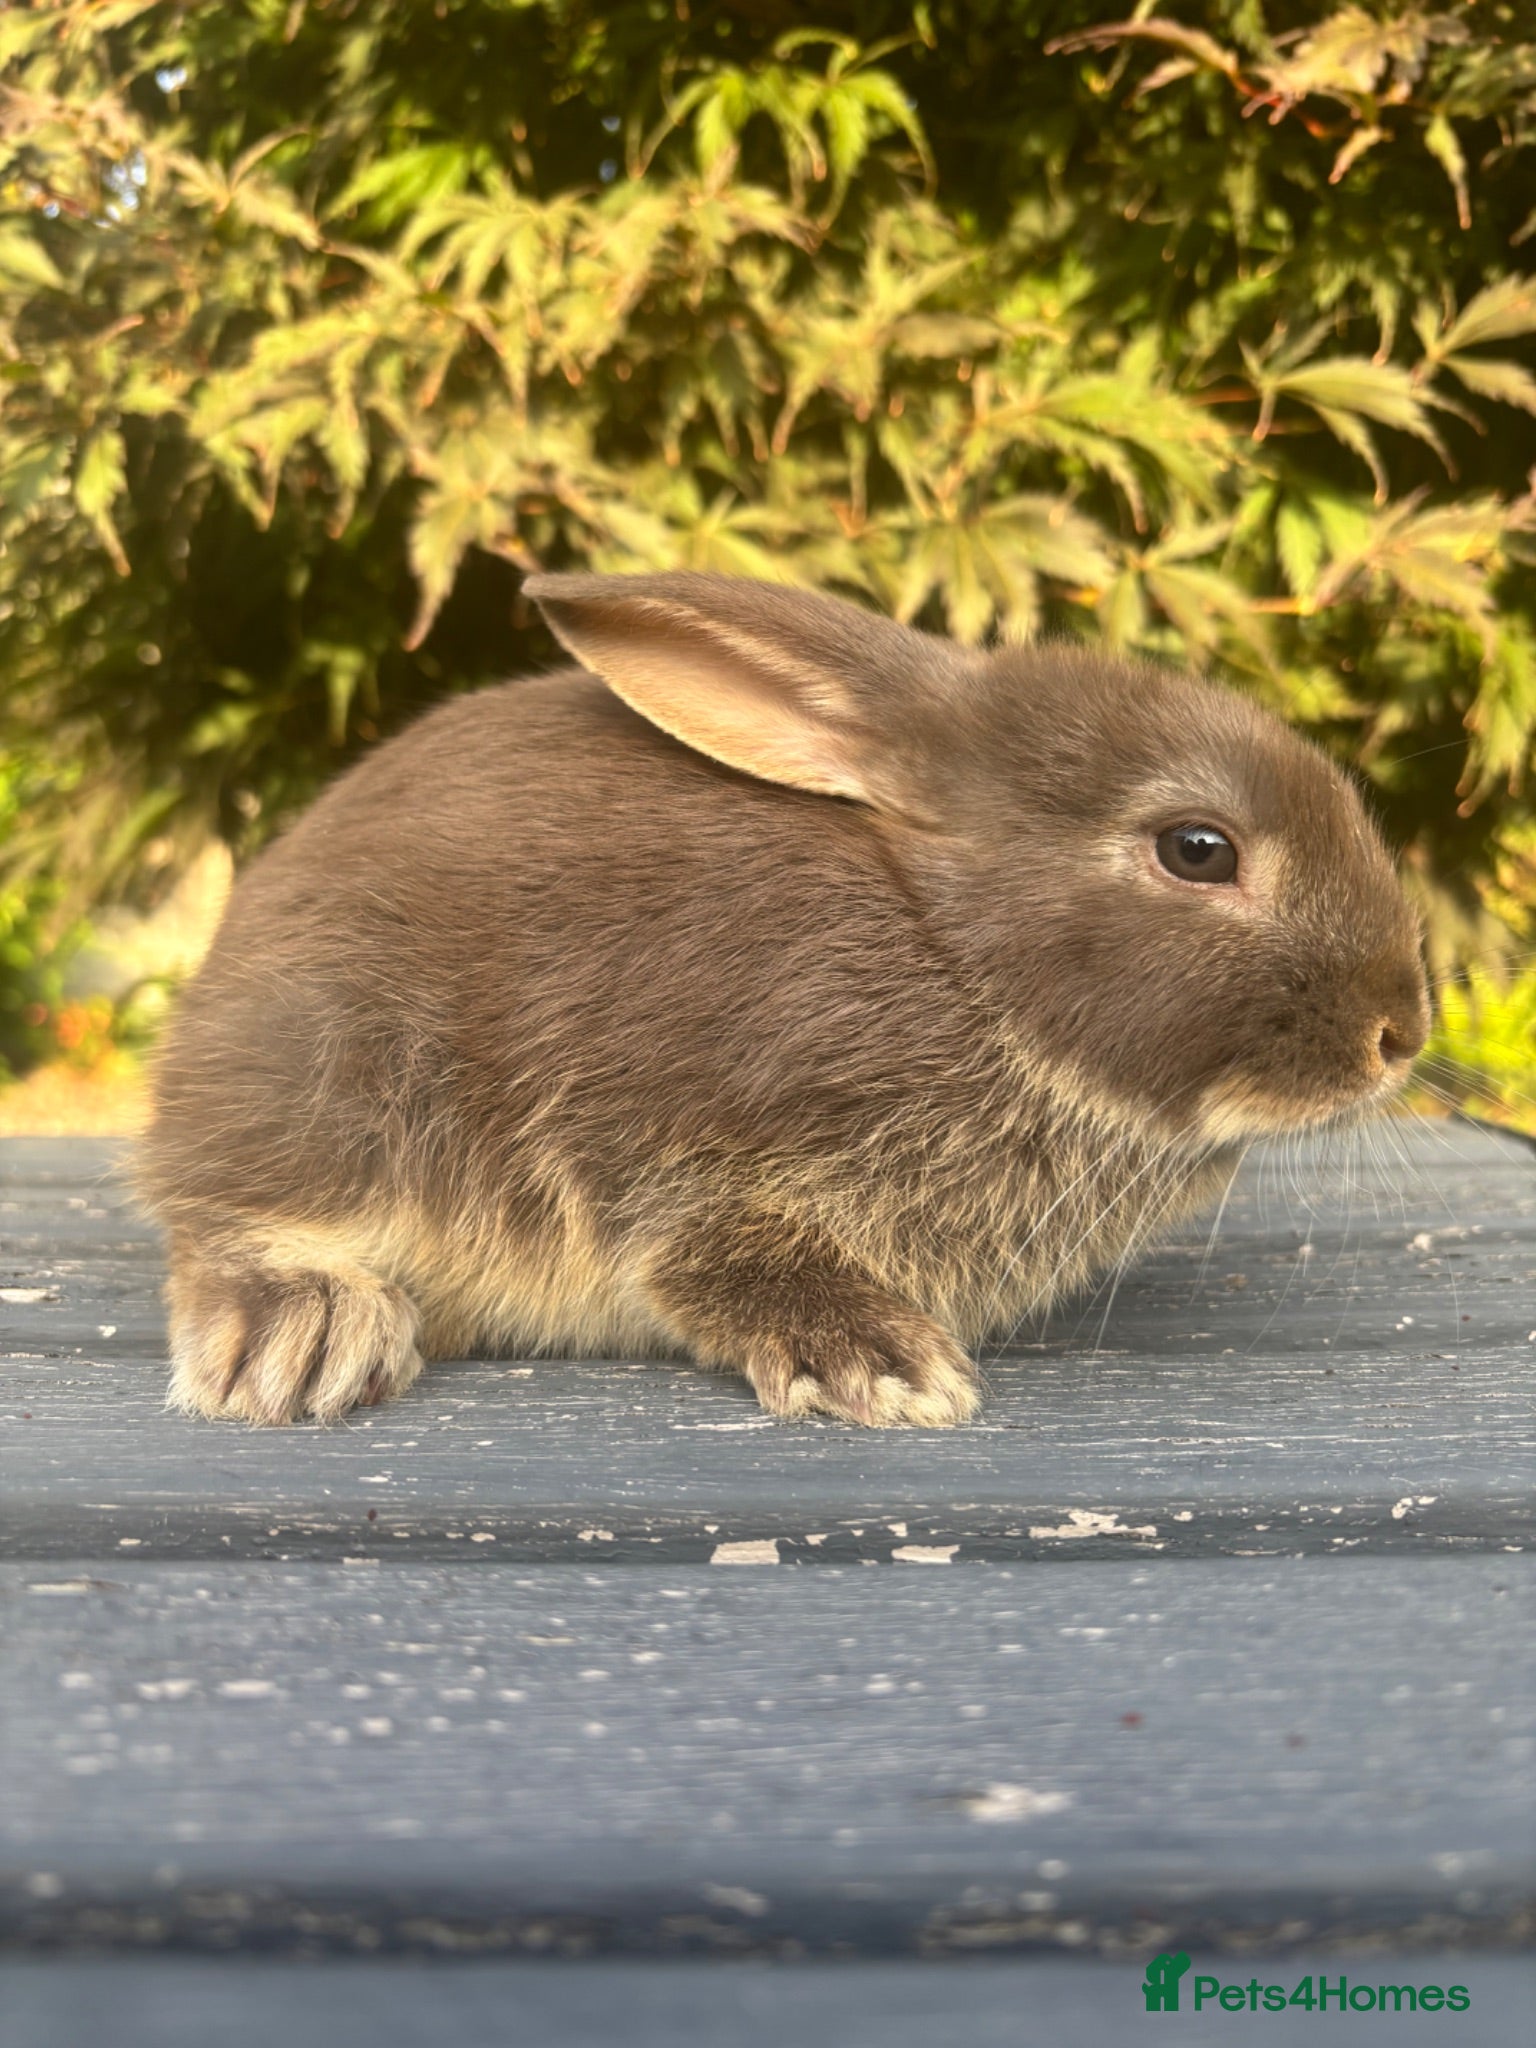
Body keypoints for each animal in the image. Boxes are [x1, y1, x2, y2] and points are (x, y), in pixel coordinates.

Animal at [136, 571, 1430, 1428]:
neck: (954, 953)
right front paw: (884, 1365)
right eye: (1198, 848)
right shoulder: (680, 1152)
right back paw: (303, 1329)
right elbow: (714, 1256)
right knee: (226, 1222)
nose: (1402, 1033)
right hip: (333, 1081)